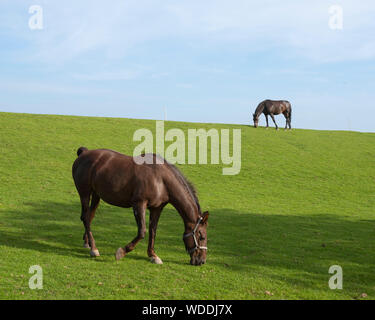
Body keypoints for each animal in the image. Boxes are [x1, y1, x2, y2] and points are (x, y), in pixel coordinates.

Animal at [72, 147, 209, 264]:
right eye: (201, 237)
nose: (201, 261)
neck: (160, 179)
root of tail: (84, 153)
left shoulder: (156, 209)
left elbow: (153, 231)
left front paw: (153, 255)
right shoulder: (139, 204)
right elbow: (142, 231)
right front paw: (122, 251)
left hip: (96, 195)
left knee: (89, 217)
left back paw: (88, 243)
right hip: (85, 193)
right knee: (85, 217)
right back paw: (94, 249)